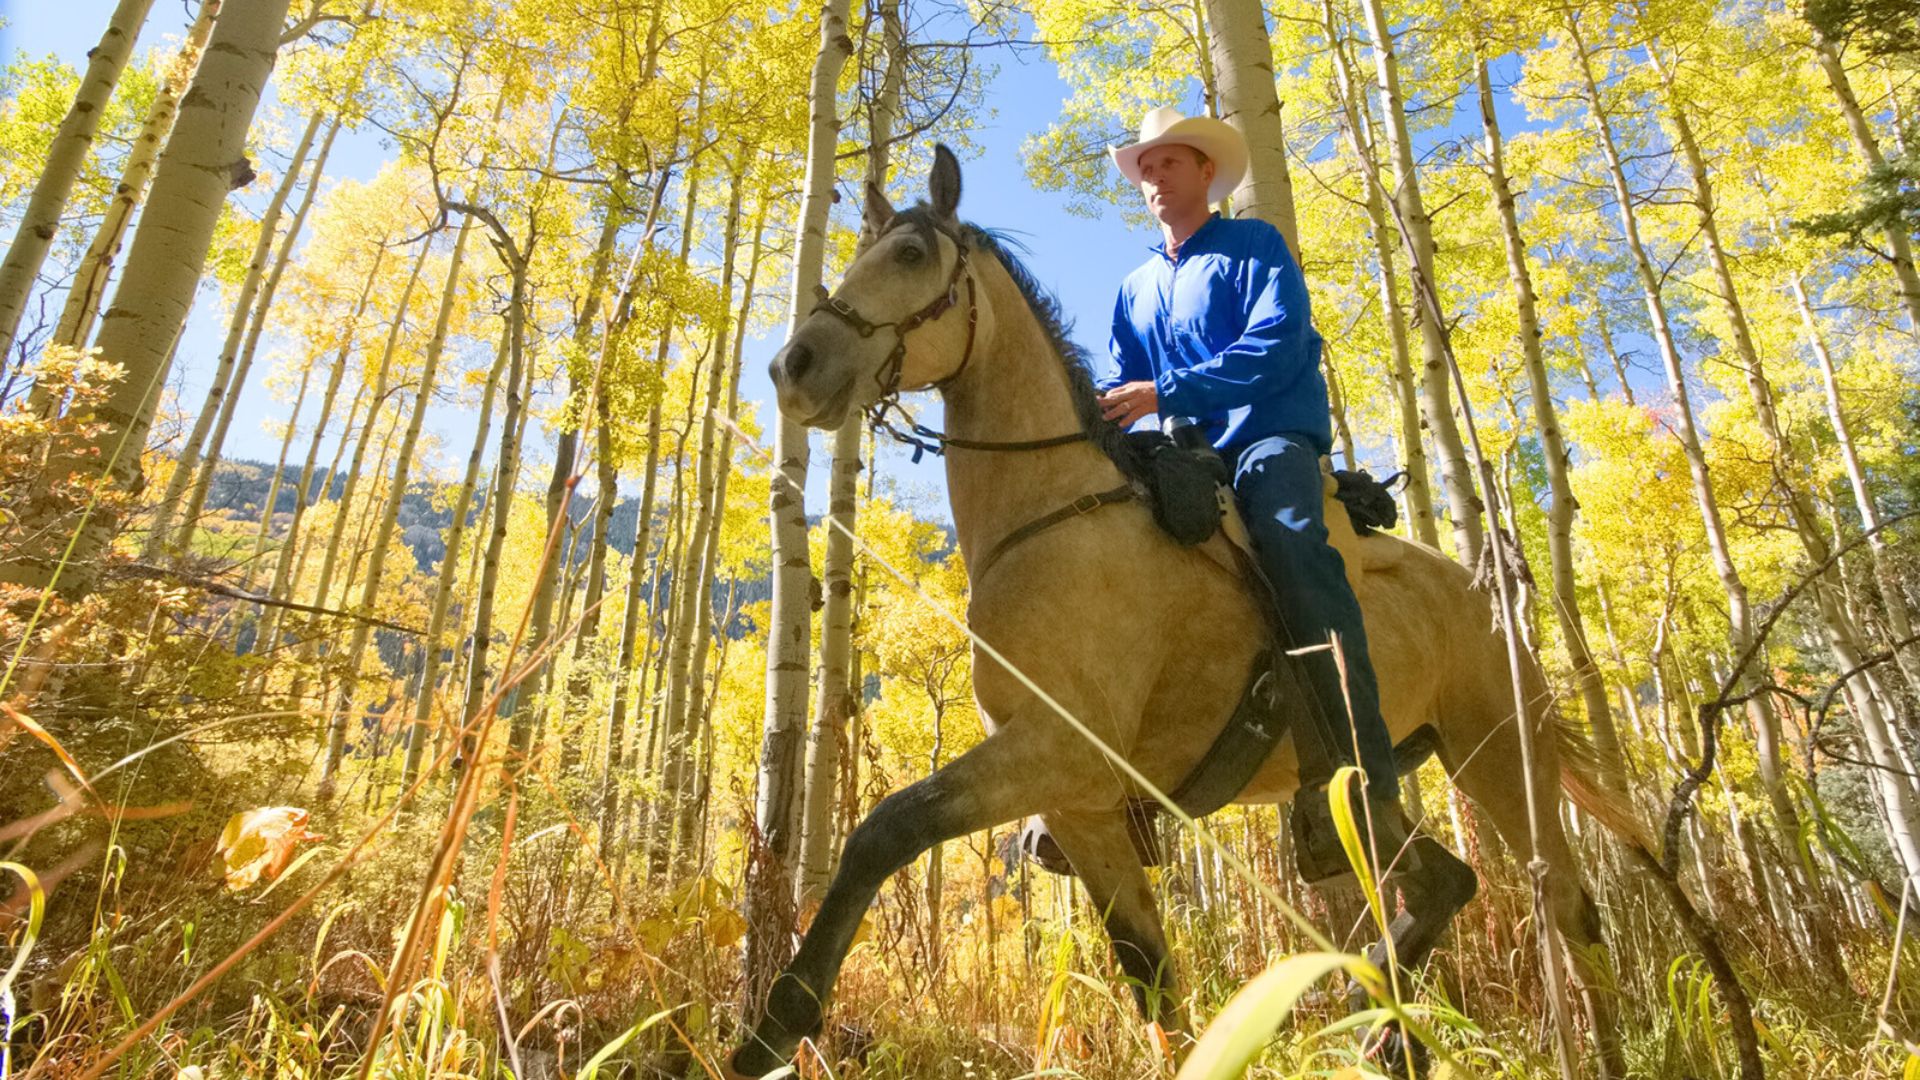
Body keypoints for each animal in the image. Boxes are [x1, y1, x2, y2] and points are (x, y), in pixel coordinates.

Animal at [725, 145, 1628, 1076]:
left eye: (908, 255)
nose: (793, 368)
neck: (1053, 517)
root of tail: (1485, 592)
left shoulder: (1059, 753)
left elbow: (887, 828)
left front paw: (774, 1024)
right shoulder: (1082, 808)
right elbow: (1152, 978)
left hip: (1500, 757)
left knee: (1570, 909)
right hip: (1367, 799)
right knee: (1450, 881)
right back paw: (1375, 1021)